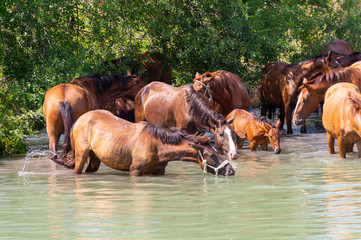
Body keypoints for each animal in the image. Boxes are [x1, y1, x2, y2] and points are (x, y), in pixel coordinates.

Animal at [67, 109, 235, 175]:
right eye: (209, 154)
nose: (231, 171)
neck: (158, 147)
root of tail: (79, 119)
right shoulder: (134, 171)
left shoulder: (159, 172)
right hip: (81, 156)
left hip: (95, 158)